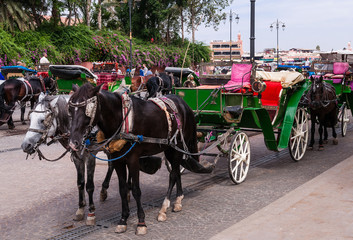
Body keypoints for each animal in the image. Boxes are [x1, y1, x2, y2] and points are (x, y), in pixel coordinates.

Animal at [68, 83, 212, 235]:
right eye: (70, 110)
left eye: (86, 109)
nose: (73, 142)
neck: (122, 119)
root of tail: (183, 104)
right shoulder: (118, 160)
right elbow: (123, 189)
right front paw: (123, 220)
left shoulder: (133, 160)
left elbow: (136, 190)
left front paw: (141, 222)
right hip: (170, 148)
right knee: (176, 171)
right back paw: (178, 199)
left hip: (177, 146)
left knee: (173, 175)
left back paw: (164, 208)